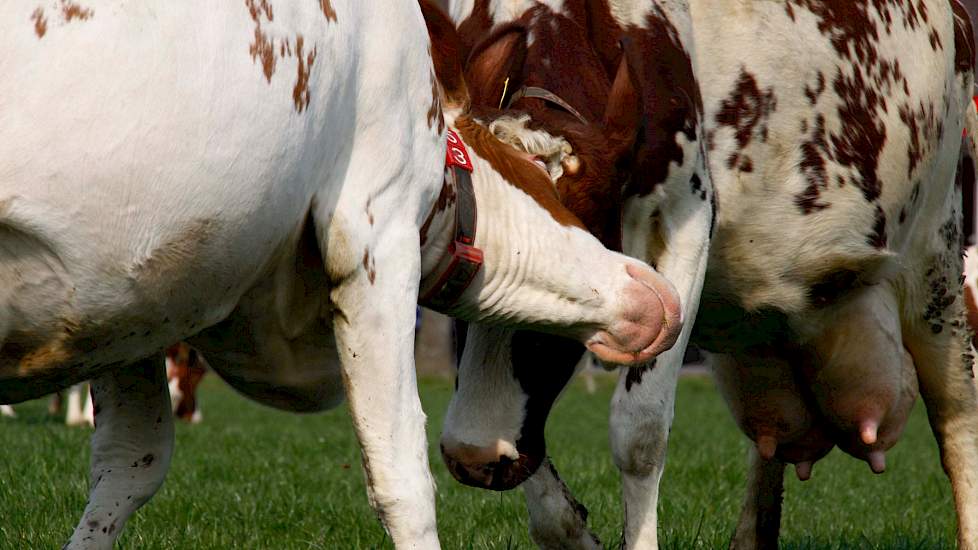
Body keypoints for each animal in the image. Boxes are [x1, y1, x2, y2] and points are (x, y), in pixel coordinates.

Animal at [0, 2, 680, 548]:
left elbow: (129, 464)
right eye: (562, 196)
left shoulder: (131, 304)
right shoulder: (376, 239)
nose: (658, 294)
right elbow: (403, 480)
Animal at [438, 0, 976, 548]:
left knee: (956, 415)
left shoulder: (688, 217)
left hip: (938, 260)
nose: (474, 453)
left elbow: (640, 430)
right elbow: (548, 504)